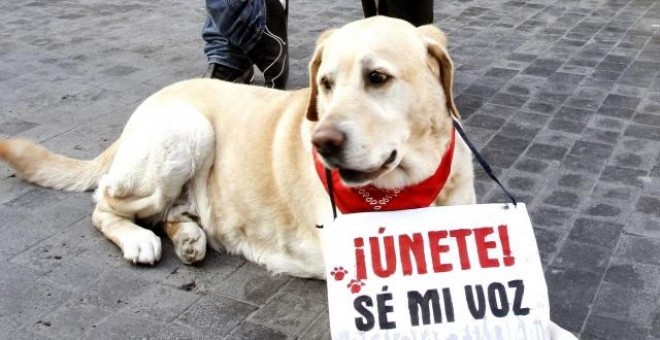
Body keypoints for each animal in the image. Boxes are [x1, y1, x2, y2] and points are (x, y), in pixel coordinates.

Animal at [0, 16, 474, 278]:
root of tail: (153, 99)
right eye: (325, 83)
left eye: (377, 77)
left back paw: (189, 236)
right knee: (104, 203)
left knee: (167, 211)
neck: (408, 189)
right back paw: (138, 240)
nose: (322, 142)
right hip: (187, 131)